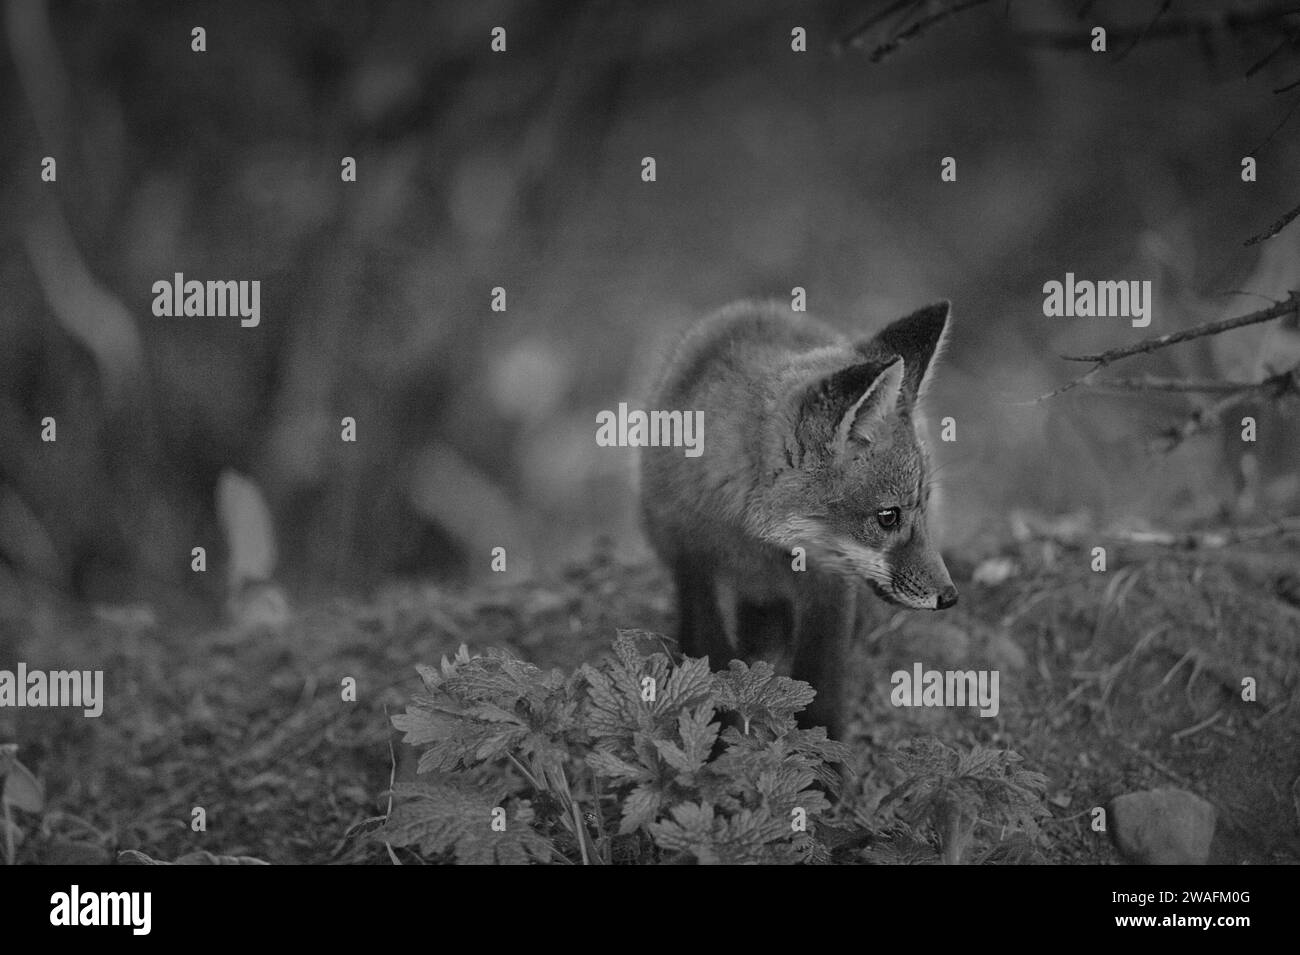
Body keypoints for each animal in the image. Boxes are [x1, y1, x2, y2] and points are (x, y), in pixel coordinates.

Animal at [639, 299, 958, 740]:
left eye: (921, 506)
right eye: (888, 516)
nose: (950, 596)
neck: (757, 544)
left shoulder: (830, 586)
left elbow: (821, 684)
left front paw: (821, 756)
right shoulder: (697, 564)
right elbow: (710, 662)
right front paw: (714, 744)